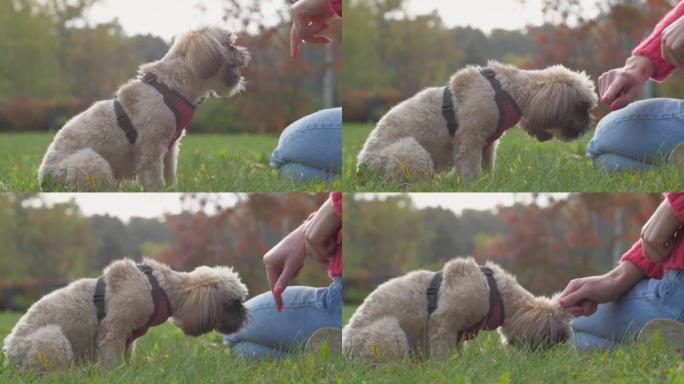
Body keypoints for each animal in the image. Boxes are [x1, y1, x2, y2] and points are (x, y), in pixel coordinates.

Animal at [2, 258, 248, 368]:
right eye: (234, 303)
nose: (246, 317)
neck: (159, 289)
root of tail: (8, 355)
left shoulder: (129, 339)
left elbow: (126, 358)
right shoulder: (113, 330)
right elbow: (111, 360)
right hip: (52, 338)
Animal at [38, 26, 251, 191]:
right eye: (230, 45)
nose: (246, 54)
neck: (170, 87)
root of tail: (43, 180)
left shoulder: (169, 150)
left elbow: (170, 176)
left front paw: (173, 191)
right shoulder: (151, 150)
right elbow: (154, 181)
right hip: (92, 162)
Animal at [342, 256, 572, 362]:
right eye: (557, 337)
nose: (559, 350)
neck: (496, 294)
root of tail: (344, 346)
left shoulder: (458, 334)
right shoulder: (443, 322)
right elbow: (442, 353)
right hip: (388, 332)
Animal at [358, 60, 600, 182]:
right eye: (582, 106)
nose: (589, 124)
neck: (507, 92)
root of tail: (362, 165)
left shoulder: (488, 145)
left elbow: (487, 167)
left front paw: (488, 183)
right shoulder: (470, 140)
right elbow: (470, 171)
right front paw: (472, 185)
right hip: (412, 152)